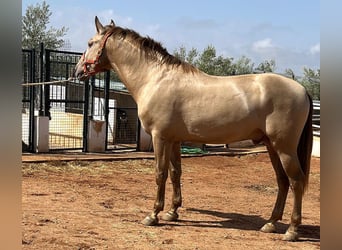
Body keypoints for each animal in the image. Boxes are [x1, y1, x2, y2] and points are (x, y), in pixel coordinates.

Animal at [75, 16, 312, 241]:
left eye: (90, 43)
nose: (78, 71)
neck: (155, 79)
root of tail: (302, 89)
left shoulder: (160, 138)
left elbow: (160, 174)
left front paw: (153, 215)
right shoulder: (174, 140)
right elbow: (175, 173)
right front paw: (172, 212)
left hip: (284, 148)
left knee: (296, 181)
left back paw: (292, 230)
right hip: (272, 146)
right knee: (282, 181)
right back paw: (270, 223)